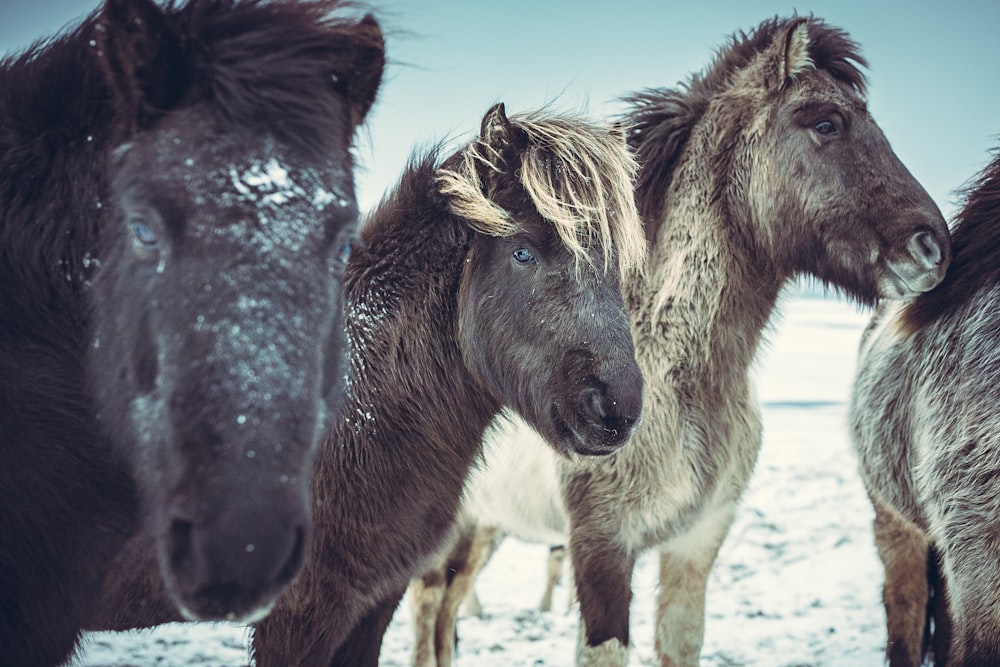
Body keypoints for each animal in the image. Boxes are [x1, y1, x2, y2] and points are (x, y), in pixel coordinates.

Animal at [86, 103, 648, 667]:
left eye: (618, 264)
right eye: (524, 253)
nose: (615, 408)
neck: (356, 410)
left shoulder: (372, 602)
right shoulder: (302, 613)